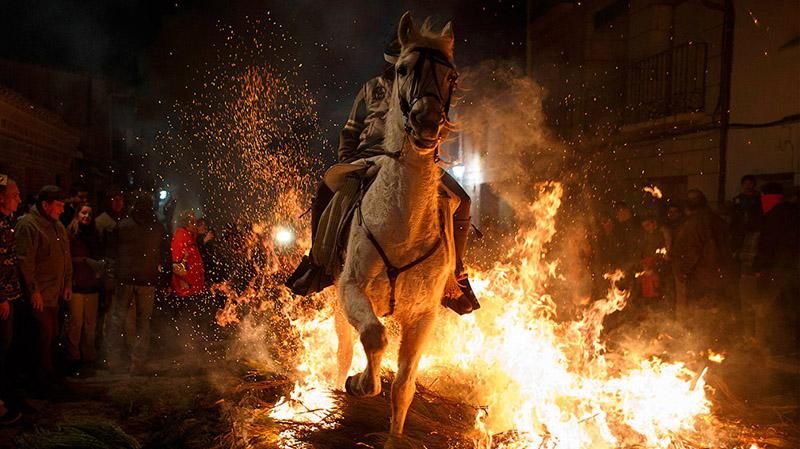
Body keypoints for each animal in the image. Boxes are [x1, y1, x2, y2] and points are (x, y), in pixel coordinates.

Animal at [332, 12, 456, 442]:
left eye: (451, 77)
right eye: (403, 69)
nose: (427, 122)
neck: (403, 225)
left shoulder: (423, 316)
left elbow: (404, 388)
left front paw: (393, 436)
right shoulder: (351, 288)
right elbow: (373, 337)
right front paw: (359, 383)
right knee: (345, 349)